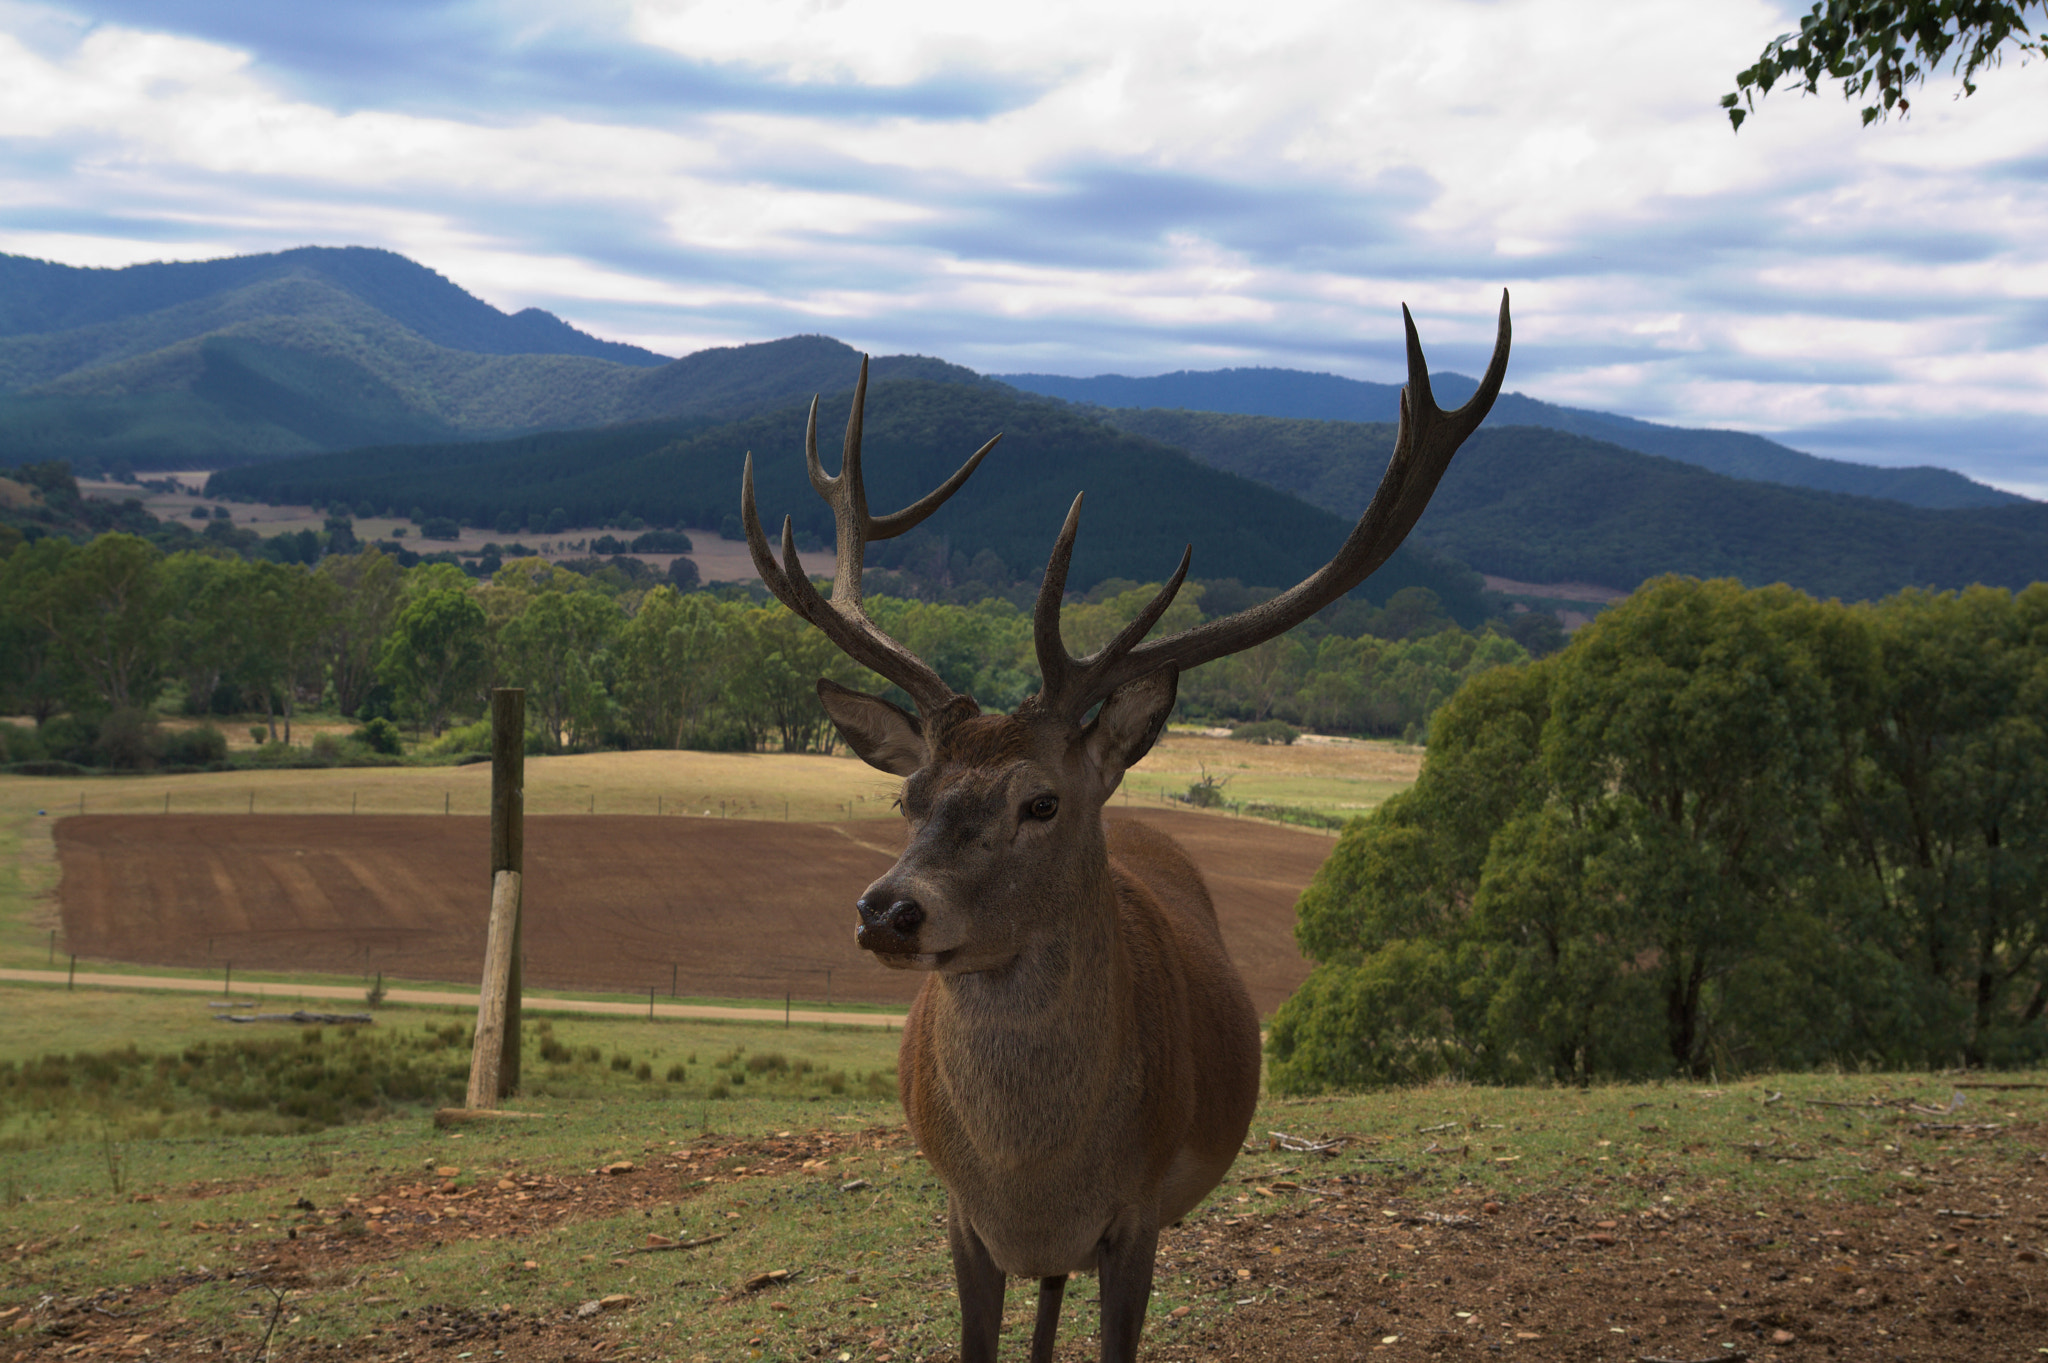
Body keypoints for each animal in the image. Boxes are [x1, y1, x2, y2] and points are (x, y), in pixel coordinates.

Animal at [738, 294, 1510, 1362]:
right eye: (909, 794)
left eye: (1041, 800)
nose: (887, 909)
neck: (1034, 1174)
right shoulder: (961, 1218)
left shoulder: (1137, 1216)